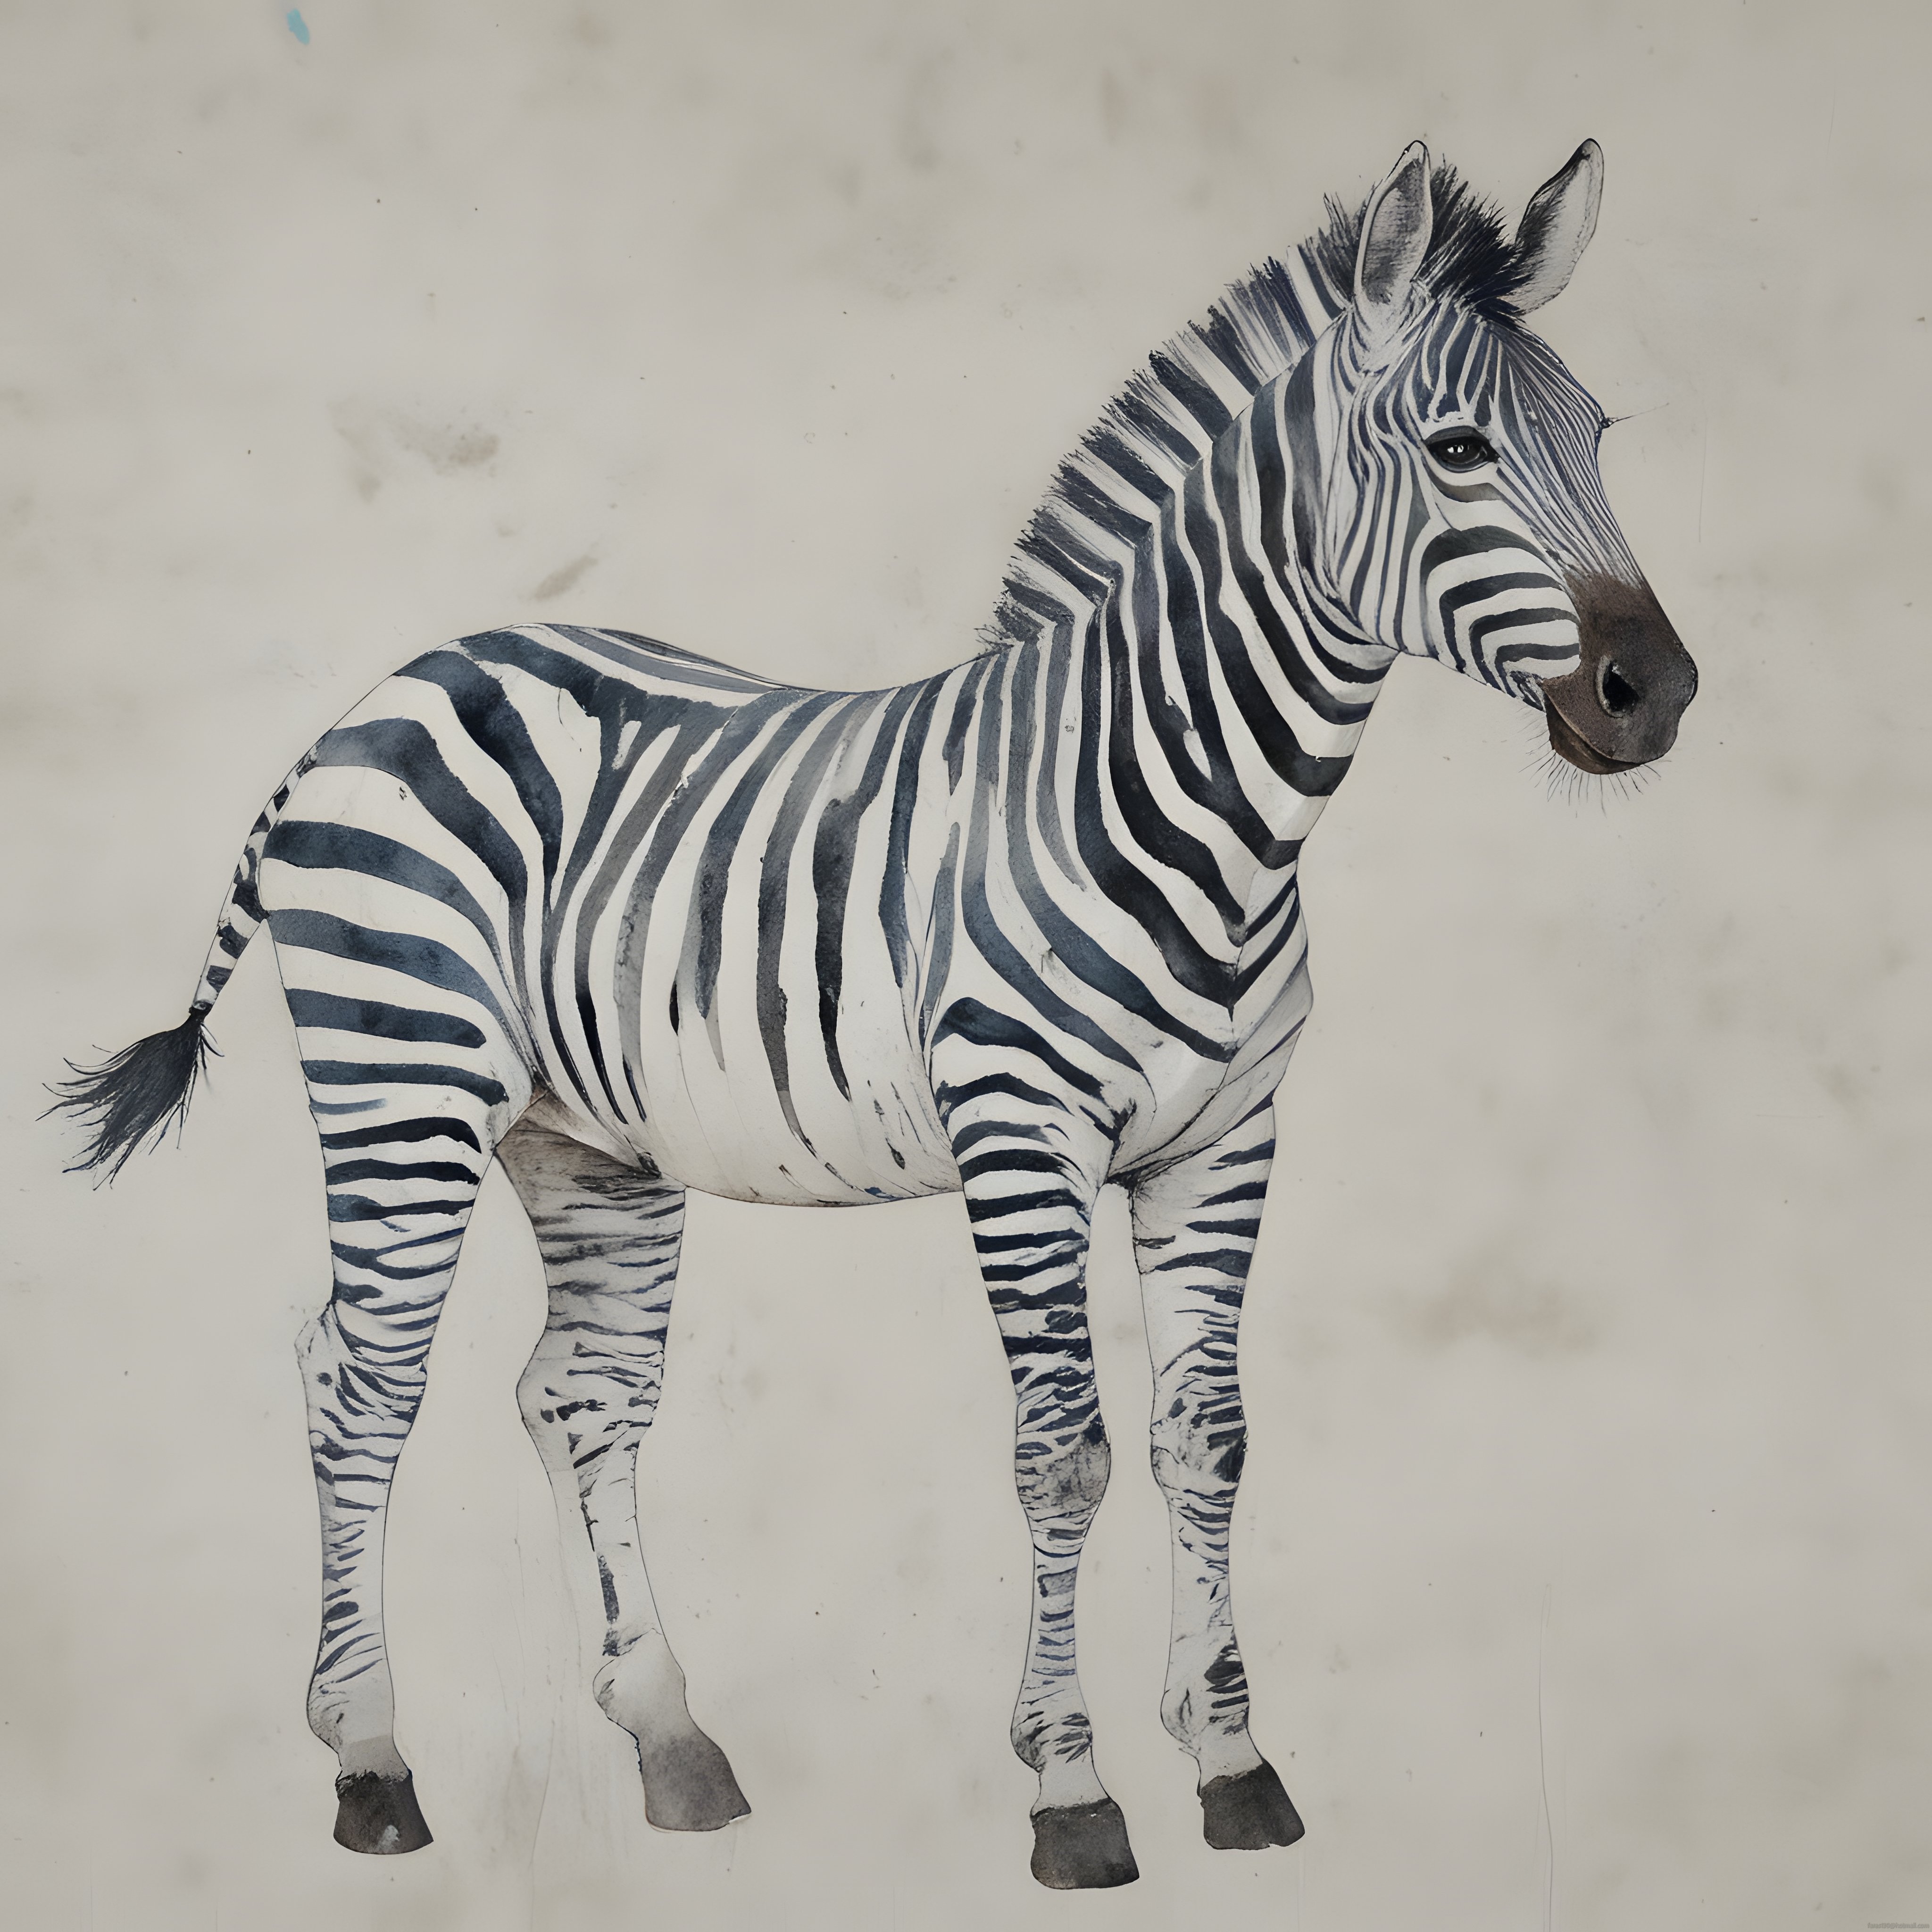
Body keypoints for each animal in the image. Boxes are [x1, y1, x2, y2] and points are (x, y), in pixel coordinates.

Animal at [53, 140, 1696, 1889]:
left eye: (1598, 438)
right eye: (1457, 449)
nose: (1657, 693)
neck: (1187, 798)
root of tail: (378, 696)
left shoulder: (1225, 1141)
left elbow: (1208, 1439)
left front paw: (1235, 1763)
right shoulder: (1021, 1135)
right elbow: (1063, 1453)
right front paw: (1072, 1791)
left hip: (588, 1147)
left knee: (577, 1393)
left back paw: (668, 1739)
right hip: (400, 1084)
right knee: (358, 1382)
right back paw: (370, 1760)